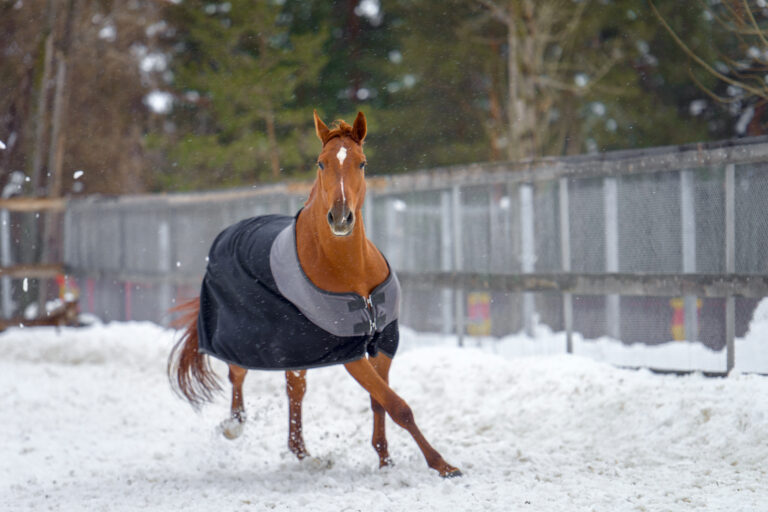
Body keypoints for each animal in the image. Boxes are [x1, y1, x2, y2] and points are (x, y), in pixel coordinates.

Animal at [168, 111, 462, 478]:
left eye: (362, 163)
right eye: (321, 163)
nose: (340, 218)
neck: (353, 273)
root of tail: (228, 233)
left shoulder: (384, 341)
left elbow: (380, 402)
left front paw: (386, 461)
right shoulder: (350, 351)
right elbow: (397, 405)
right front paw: (442, 465)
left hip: (296, 348)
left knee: (295, 391)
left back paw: (305, 455)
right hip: (243, 336)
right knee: (238, 374)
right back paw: (235, 426)